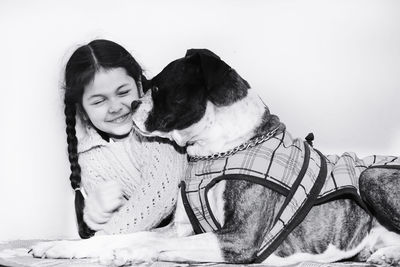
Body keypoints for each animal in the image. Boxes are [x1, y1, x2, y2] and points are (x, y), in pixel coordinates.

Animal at [30, 49, 400, 266]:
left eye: (158, 87)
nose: (133, 104)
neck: (220, 149)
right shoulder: (180, 230)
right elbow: (126, 234)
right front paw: (63, 247)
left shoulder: (239, 240)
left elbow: (151, 245)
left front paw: (128, 254)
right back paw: (382, 254)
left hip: (369, 175)